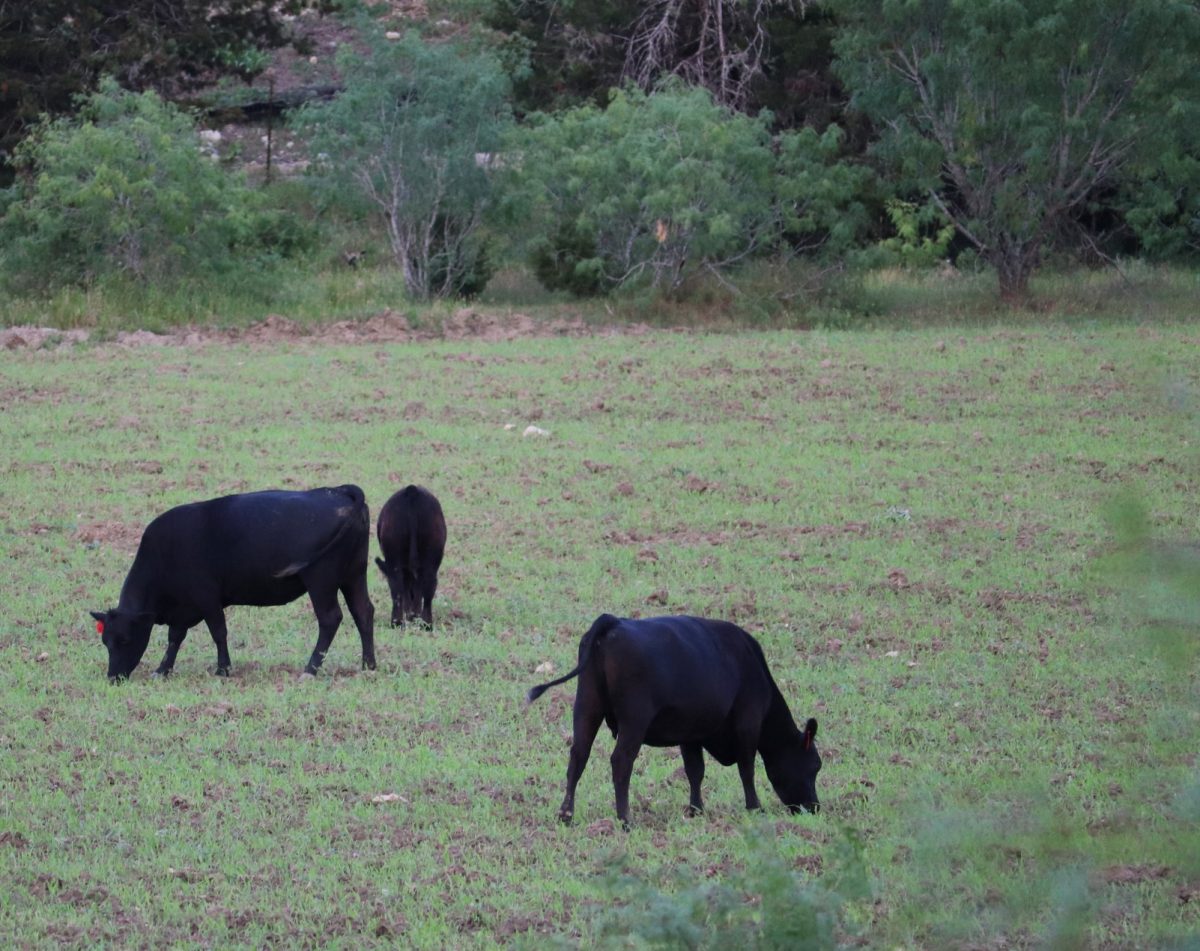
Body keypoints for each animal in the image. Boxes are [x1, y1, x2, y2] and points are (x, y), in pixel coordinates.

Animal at [90, 487, 374, 682]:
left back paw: (310, 670)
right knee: (363, 612)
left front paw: (222, 669)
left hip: (321, 580)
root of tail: (339, 491)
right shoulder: (184, 608)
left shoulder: (206, 597)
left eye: (125, 640)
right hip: (354, 575)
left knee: (330, 619)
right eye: (105, 641)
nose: (113, 677)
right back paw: (369, 665)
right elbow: (175, 638)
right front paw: (162, 669)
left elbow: (218, 631)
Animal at [374, 487, 446, 629]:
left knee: (397, 587)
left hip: (395, 557)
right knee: (428, 587)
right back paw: (425, 624)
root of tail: (412, 491)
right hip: (430, 557)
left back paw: (398, 622)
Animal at [528, 614, 820, 826]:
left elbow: (695, 770)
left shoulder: (691, 733)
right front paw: (754, 807)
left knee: (578, 755)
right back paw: (625, 819)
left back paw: (566, 815)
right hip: (634, 718)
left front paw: (695, 810)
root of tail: (613, 621)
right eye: (815, 765)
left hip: (587, 705)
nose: (814, 807)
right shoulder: (748, 720)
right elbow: (746, 767)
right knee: (621, 761)